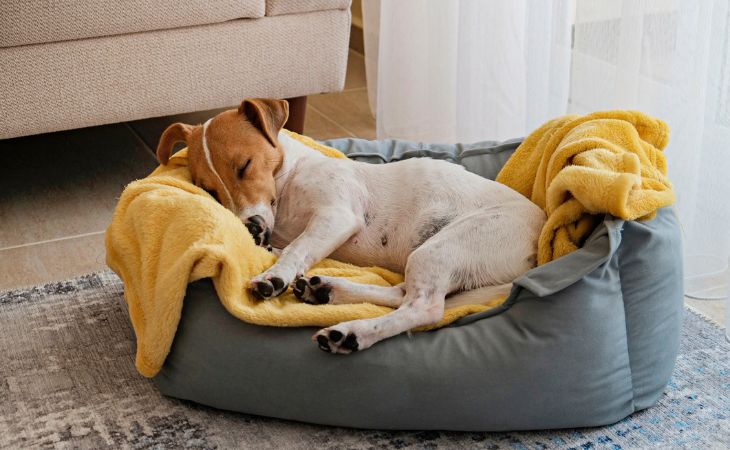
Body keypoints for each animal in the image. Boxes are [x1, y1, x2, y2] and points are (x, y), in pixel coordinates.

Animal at [156, 98, 544, 356]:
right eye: (208, 190)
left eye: (245, 165)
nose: (250, 227)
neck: (289, 181)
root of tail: (536, 252)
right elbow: (287, 248)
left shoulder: (336, 216)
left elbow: (297, 249)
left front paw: (274, 277)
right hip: (429, 255)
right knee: (402, 293)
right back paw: (326, 289)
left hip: (443, 247)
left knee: (423, 308)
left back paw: (351, 332)